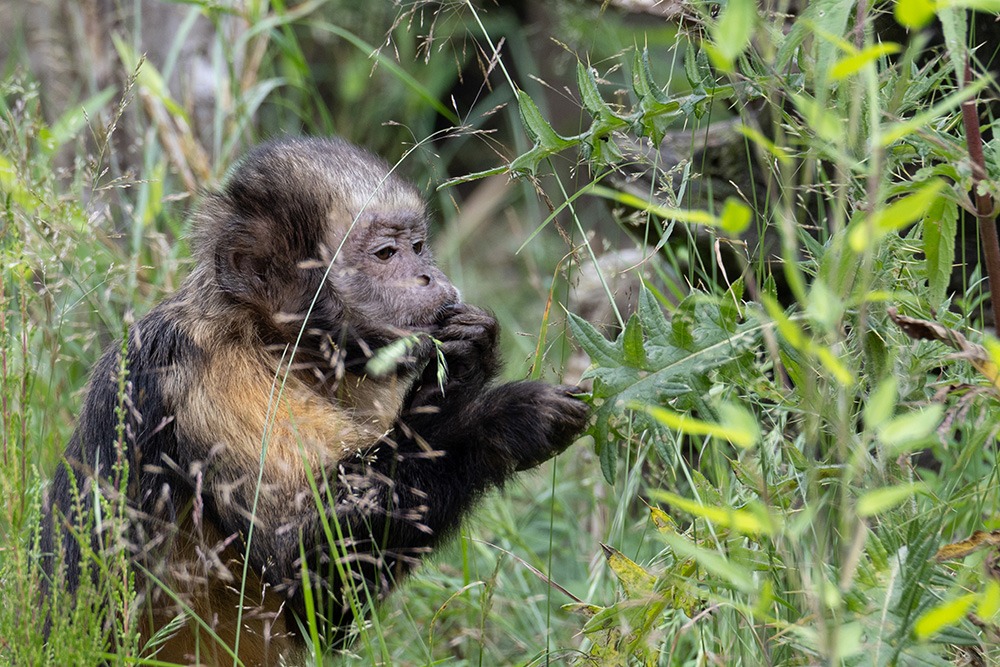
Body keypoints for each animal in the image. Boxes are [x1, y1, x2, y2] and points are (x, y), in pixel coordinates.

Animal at [43, 138, 588, 664]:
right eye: (386, 254)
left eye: (417, 247)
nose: (429, 276)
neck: (269, 339)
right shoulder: (209, 373)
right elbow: (295, 557)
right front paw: (494, 421)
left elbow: (321, 610)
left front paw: (463, 364)